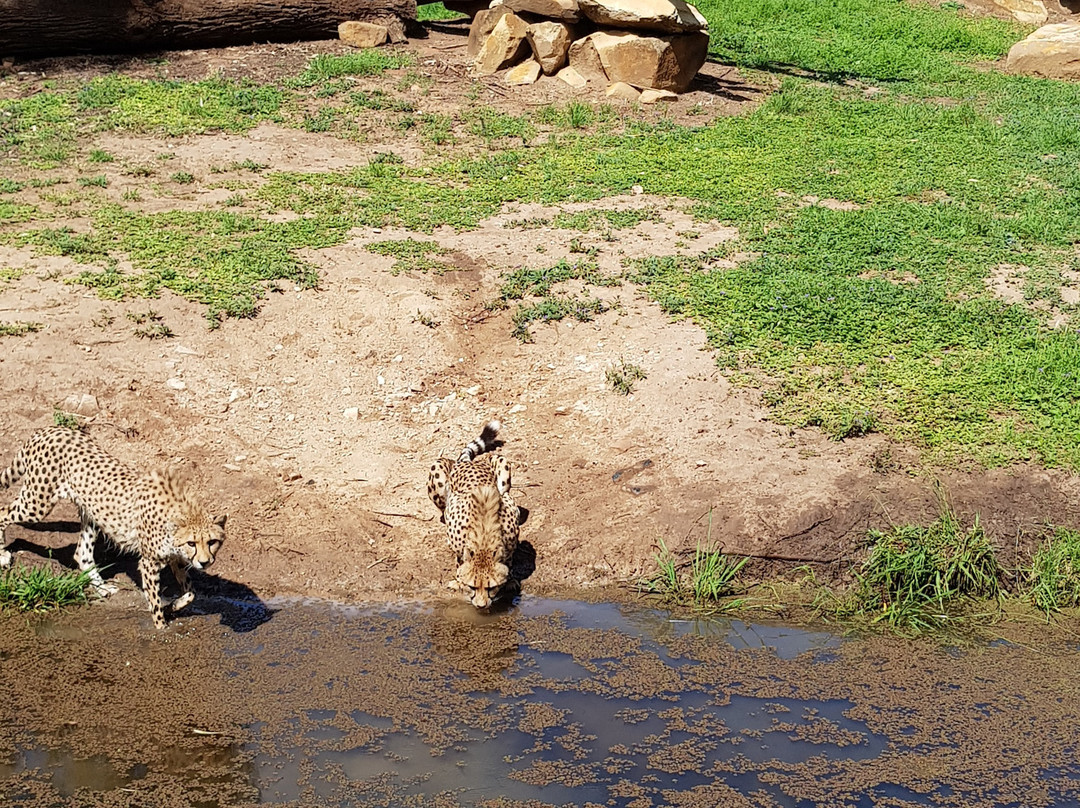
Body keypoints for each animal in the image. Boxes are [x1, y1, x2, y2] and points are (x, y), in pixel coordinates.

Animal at [0, 425, 224, 626]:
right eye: (192, 543)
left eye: (212, 542)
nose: (205, 562)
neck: (184, 512)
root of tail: (47, 430)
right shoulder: (149, 563)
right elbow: (155, 605)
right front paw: (162, 630)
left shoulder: (174, 557)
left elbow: (191, 593)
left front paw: (174, 606)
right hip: (37, 503)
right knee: (3, 511)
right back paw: (2, 554)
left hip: (90, 514)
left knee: (82, 554)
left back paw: (102, 588)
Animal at [425, 423, 518, 604]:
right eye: (472, 587)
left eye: (491, 588)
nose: (481, 606)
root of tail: (468, 462)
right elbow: (460, 561)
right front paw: (459, 581)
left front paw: (509, 580)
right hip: (437, 470)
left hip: (502, 464)